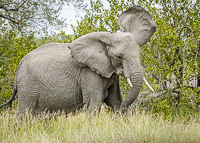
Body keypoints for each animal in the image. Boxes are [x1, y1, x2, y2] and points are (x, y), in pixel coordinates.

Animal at [0, 6, 156, 116]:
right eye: (119, 57)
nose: (121, 112)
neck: (108, 38)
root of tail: (18, 67)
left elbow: (114, 100)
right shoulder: (89, 72)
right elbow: (94, 102)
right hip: (28, 86)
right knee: (23, 113)